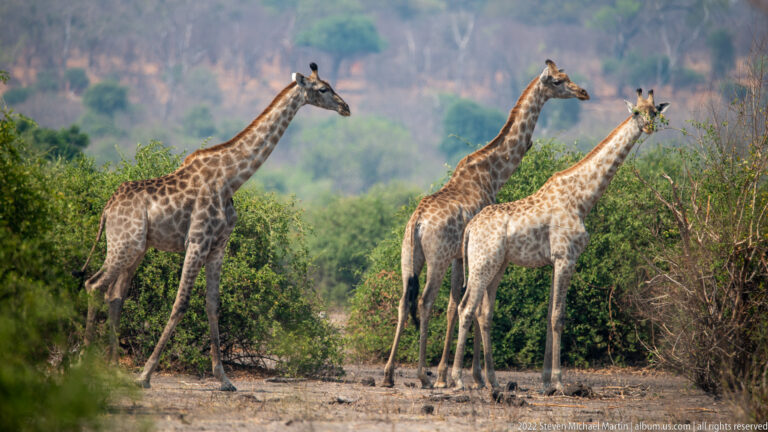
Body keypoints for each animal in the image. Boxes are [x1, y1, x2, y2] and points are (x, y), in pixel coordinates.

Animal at [76, 63, 350, 391]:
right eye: (323, 89)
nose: (346, 107)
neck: (231, 178)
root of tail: (107, 208)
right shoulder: (196, 241)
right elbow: (181, 303)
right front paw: (145, 374)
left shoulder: (218, 246)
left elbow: (212, 305)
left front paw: (224, 378)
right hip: (123, 243)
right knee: (94, 285)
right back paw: (82, 364)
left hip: (137, 249)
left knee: (114, 296)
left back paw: (114, 369)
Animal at [382, 60, 590, 389]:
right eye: (558, 81)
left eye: (567, 76)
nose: (583, 92)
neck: (494, 172)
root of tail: (416, 222)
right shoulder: (464, 253)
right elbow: (470, 305)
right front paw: (473, 376)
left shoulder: (459, 255)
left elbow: (455, 304)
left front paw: (449, 373)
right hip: (436, 258)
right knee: (425, 302)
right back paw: (422, 375)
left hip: (409, 256)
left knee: (405, 302)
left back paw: (389, 374)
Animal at [451, 89, 670, 392]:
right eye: (636, 112)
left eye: (655, 112)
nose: (648, 128)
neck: (582, 199)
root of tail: (470, 227)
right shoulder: (567, 257)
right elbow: (558, 316)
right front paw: (558, 381)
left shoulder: (557, 260)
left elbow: (548, 316)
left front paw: (545, 381)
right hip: (483, 263)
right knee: (466, 308)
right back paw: (457, 379)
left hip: (498, 265)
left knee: (484, 312)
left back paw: (493, 381)